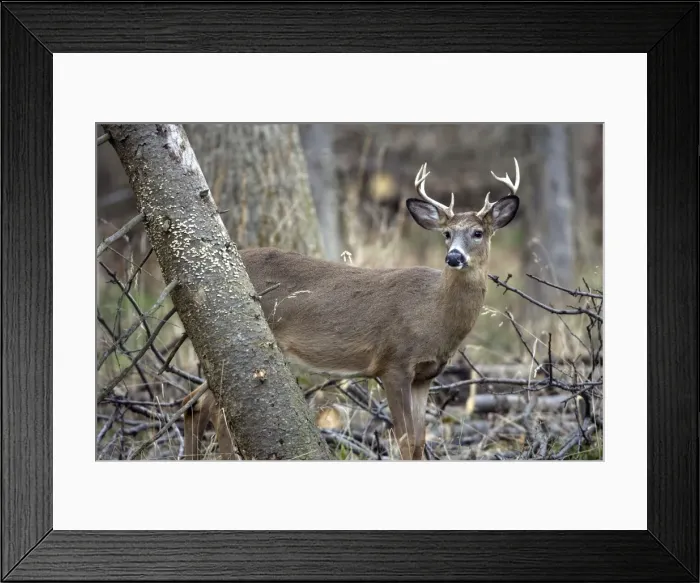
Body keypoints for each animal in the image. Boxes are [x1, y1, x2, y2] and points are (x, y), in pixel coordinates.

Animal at [182, 158, 522, 461]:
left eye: (478, 233)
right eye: (447, 233)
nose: (453, 257)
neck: (433, 314)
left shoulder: (425, 375)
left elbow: (420, 441)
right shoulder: (393, 364)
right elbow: (405, 440)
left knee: (197, 405)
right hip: (233, 341)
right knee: (208, 407)